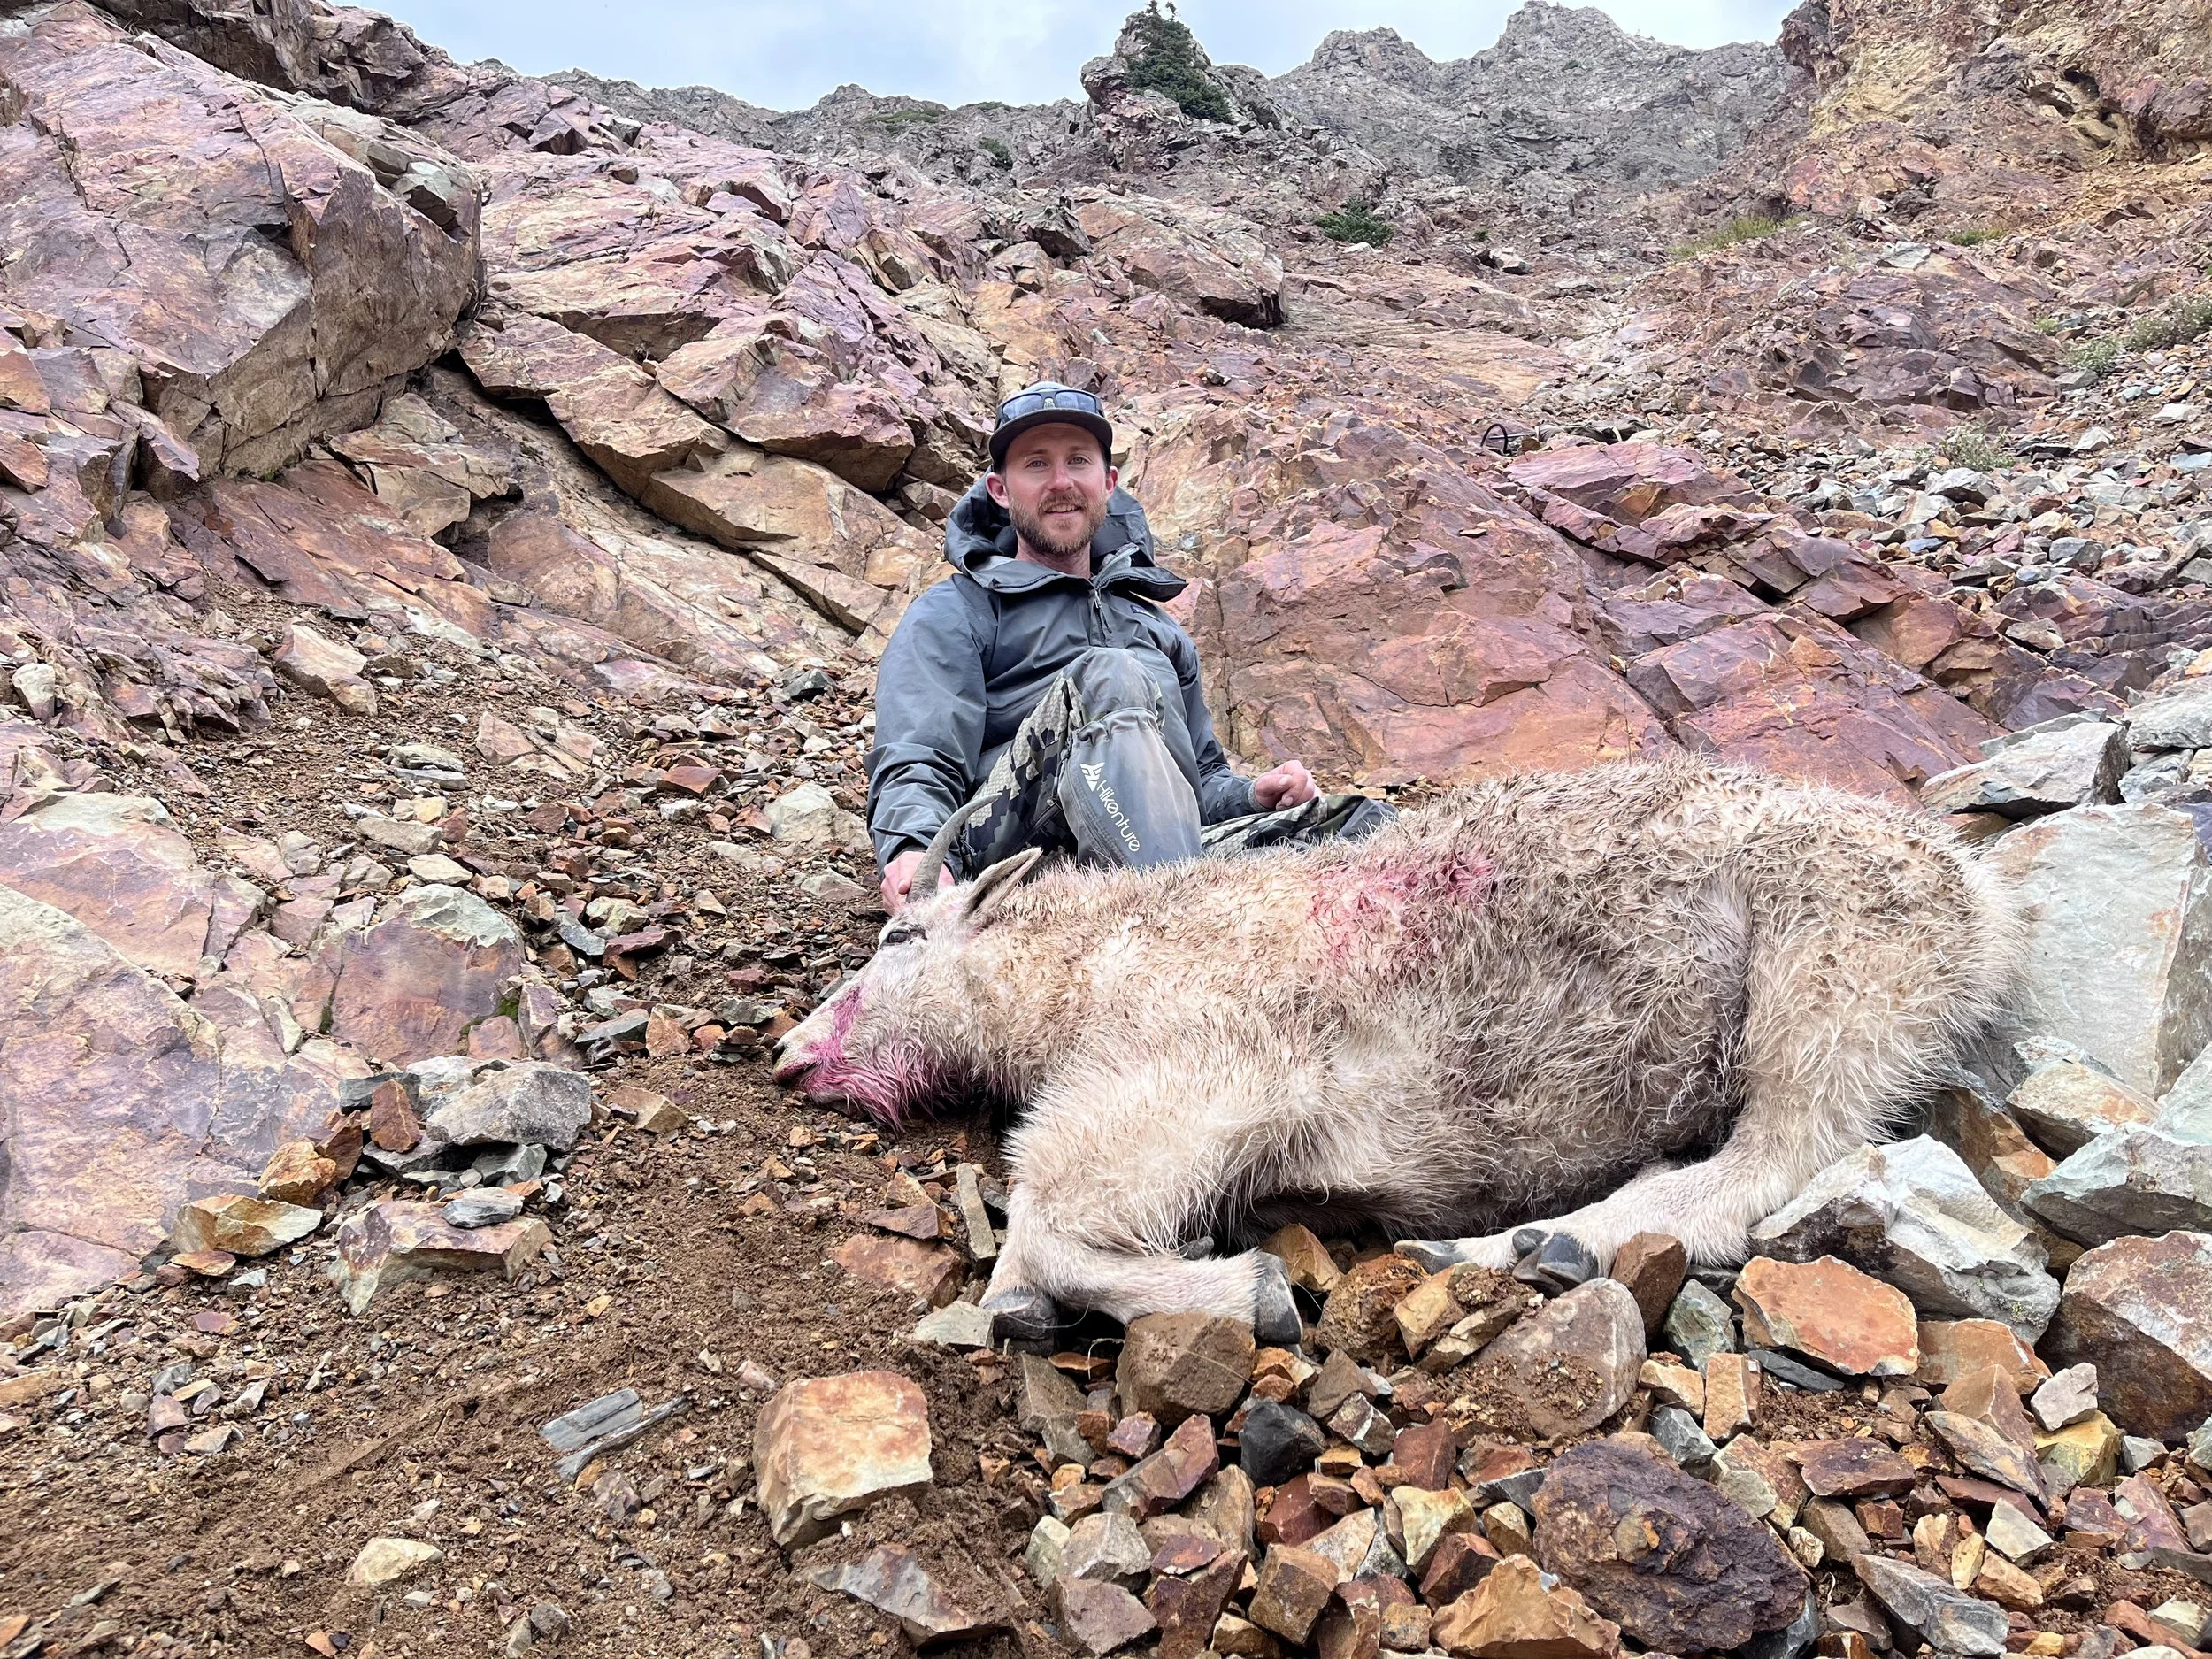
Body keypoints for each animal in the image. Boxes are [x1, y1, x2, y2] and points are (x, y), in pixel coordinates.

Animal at [775, 758, 2017, 1342]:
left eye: (898, 937)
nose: (790, 1056)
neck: (1085, 966)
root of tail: (1977, 902)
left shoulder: (1196, 1082)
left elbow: (1040, 1231)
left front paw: (1252, 1290)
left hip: (1833, 991)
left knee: (1762, 1165)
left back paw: (1513, 1245)